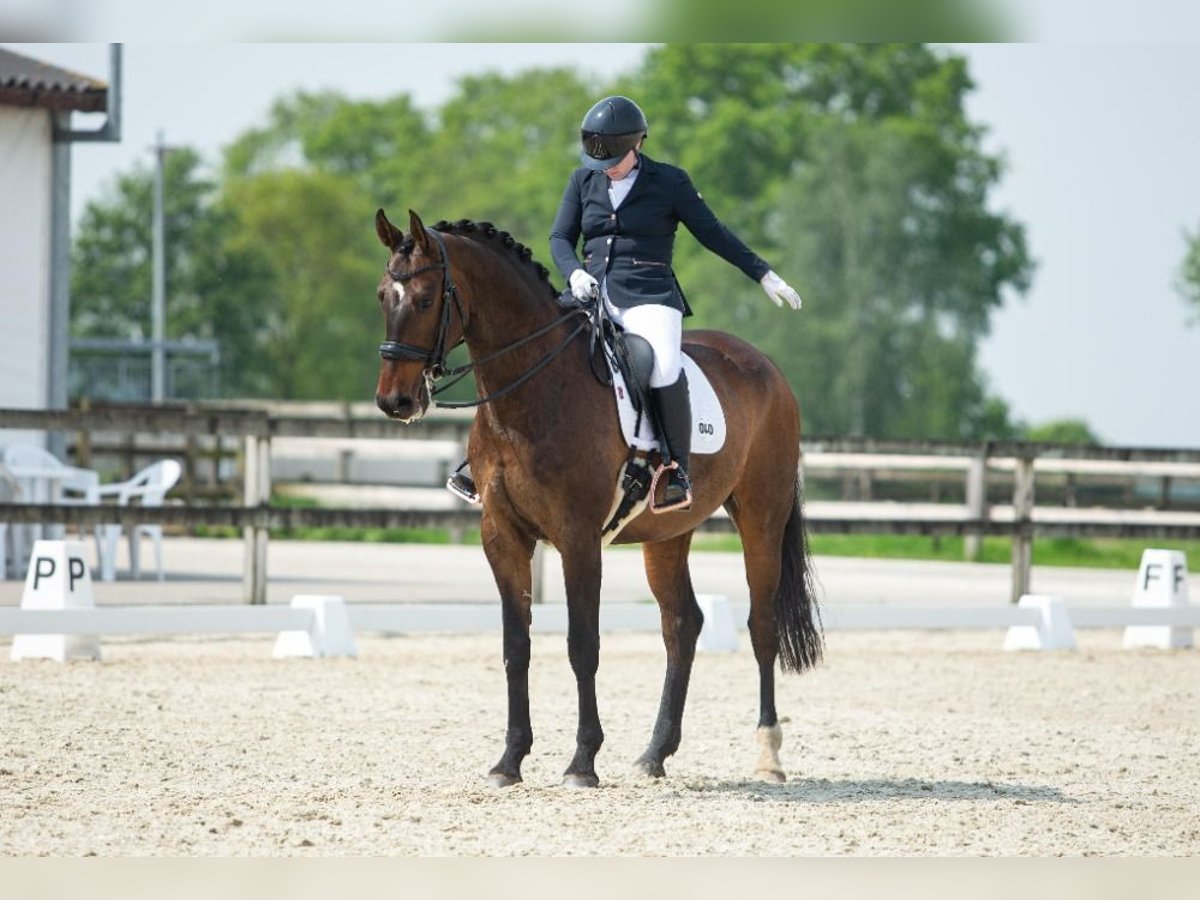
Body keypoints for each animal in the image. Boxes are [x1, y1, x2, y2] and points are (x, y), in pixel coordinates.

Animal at [374, 207, 820, 787]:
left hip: (761, 518)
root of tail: (762, 364)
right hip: (669, 532)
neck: (532, 394)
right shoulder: (502, 535)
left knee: (761, 626)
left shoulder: (578, 538)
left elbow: (582, 645)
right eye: (383, 296)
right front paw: (509, 760)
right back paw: (655, 754)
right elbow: (516, 647)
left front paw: (582, 762)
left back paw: (768, 755)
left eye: (427, 300)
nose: (395, 401)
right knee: (682, 625)